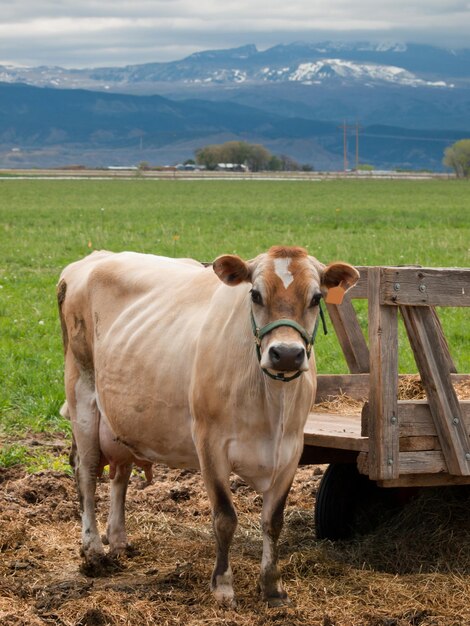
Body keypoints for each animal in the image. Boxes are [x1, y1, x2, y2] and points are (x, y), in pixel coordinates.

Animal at [57, 247, 360, 604]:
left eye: (316, 298)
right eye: (255, 294)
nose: (286, 354)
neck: (271, 403)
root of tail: (94, 257)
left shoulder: (291, 450)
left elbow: (273, 520)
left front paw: (272, 586)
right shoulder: (210, 444)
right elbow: (225, 518)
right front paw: (223, 586)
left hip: (123, 418)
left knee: (121, 475)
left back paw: (117, 541)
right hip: (83, 396)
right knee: (87, 474)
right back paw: (93, 550)